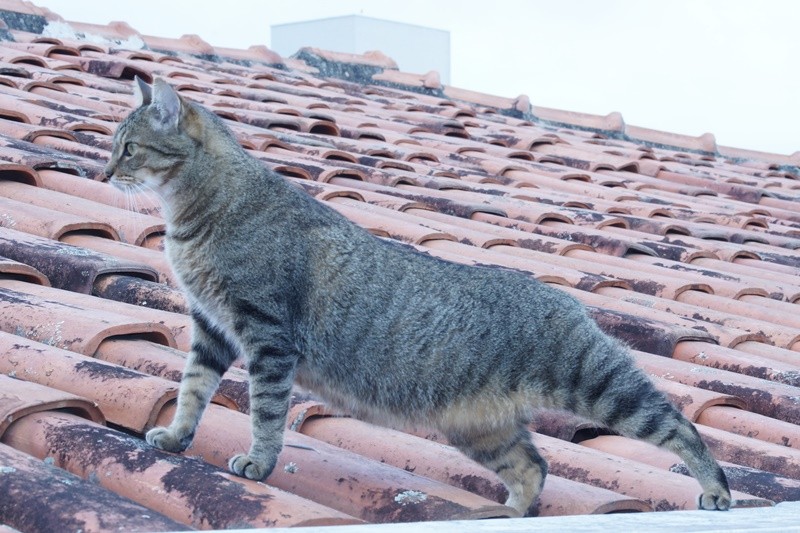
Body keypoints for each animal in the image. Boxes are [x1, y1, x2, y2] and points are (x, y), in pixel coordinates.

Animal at [104, 77, 732, 512]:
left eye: (129, 148)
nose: (107, 172)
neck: (197, 214)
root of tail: (568, 299)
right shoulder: (210, 327)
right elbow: (191, 390)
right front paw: (176, 437)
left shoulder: (266, 335)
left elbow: (265, 411)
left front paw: (258, 462)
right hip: (481, 430)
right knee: (535, 466)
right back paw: (511, 513)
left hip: (600, 384)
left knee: (678, 426)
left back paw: (716, 490)